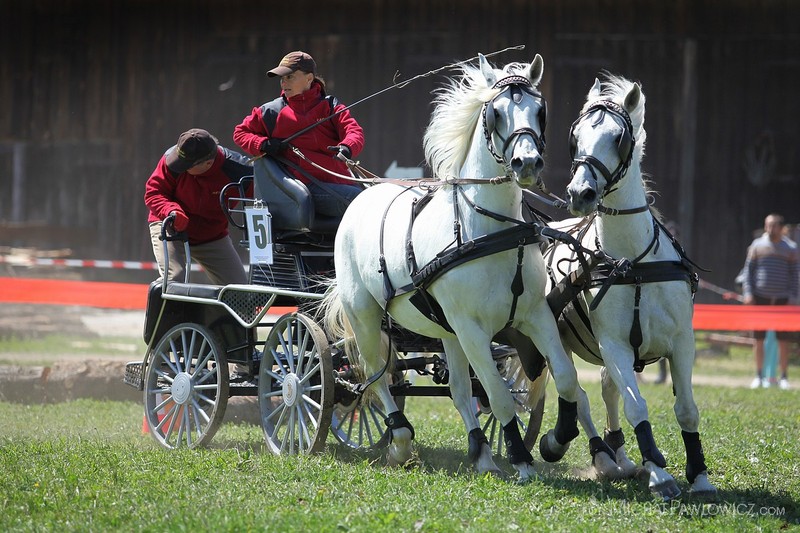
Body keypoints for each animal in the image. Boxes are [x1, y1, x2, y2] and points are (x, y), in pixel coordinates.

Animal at [322, 54, 596, 482]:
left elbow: (566, 379)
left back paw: (480, 452)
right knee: (375, 374)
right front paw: (521, 460)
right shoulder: (472, 329)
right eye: (496, 112)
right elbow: (499, 396)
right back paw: (401, 441)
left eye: (540, 109)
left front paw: (557, 439)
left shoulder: (534, 316)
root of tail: (364, 194)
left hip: (446, 330)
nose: (527, 163)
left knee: (459, 392)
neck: (490, 228)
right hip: (364, 315)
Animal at [536, 75, 720, 498]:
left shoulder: (682, 341)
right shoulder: (615, 345)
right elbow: (637, 406)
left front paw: (699, 475)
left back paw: (619, 453)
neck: (633, 263)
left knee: (606, 389)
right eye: (576, 137)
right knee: (579, 397)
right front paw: (659, 472)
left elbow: (686, 409)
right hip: (554, 339)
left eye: (618, 137)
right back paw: (600, 456)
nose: (580, 194)